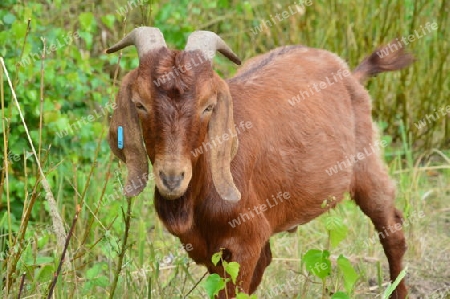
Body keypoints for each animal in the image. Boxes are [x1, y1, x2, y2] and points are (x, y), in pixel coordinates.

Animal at [106, 27, 414, 298]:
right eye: (140, 103)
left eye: (208, 106)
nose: (172, 178)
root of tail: (350, 73)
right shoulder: (207, 248)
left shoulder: (245, 242)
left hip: (367, 161)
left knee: (391, 227)